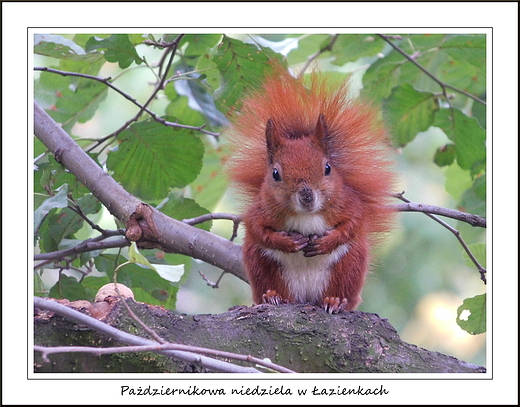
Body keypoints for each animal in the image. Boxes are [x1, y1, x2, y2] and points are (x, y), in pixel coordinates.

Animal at [225, 65, 396, 314]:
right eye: (275, 174)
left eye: (327, 168)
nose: (307, 197)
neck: (305, 216)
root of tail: (306, 297)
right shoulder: (260, 209)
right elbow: (257, 229)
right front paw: (287, 242)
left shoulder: (348, 203)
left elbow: (353, 223)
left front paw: (326, 242)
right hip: (261, 264)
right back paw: (272, 297)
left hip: (349, 265)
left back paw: (335, 301)